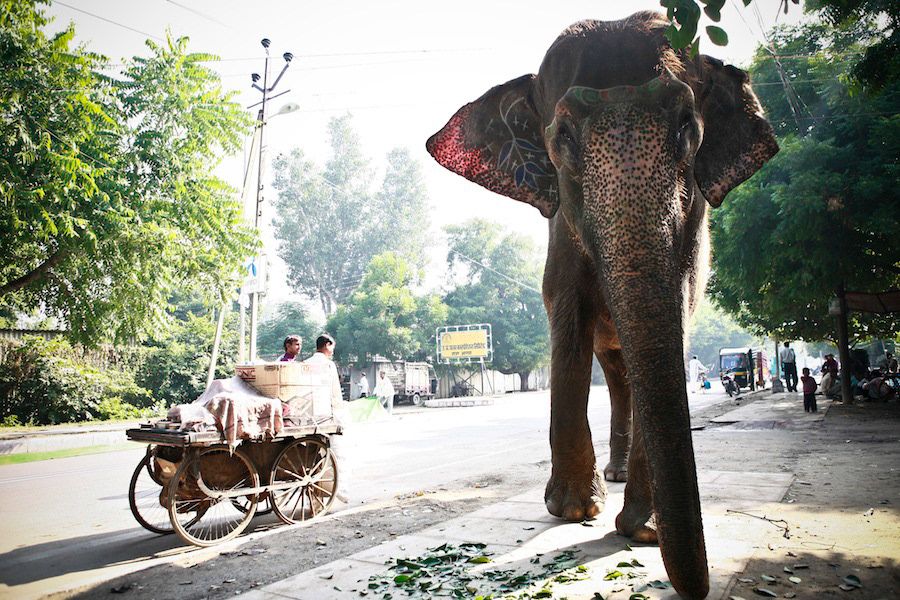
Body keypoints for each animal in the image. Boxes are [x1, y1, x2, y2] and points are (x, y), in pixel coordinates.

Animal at [426, 11, 778, 599]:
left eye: (688, 124)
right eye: (563, 136)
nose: (697, 586)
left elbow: (679, 308)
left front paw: (644, 532)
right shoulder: (558, 231)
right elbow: (566, 316)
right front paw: (572, 510)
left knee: (626, 375)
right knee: (615, 373)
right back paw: (608, 480)